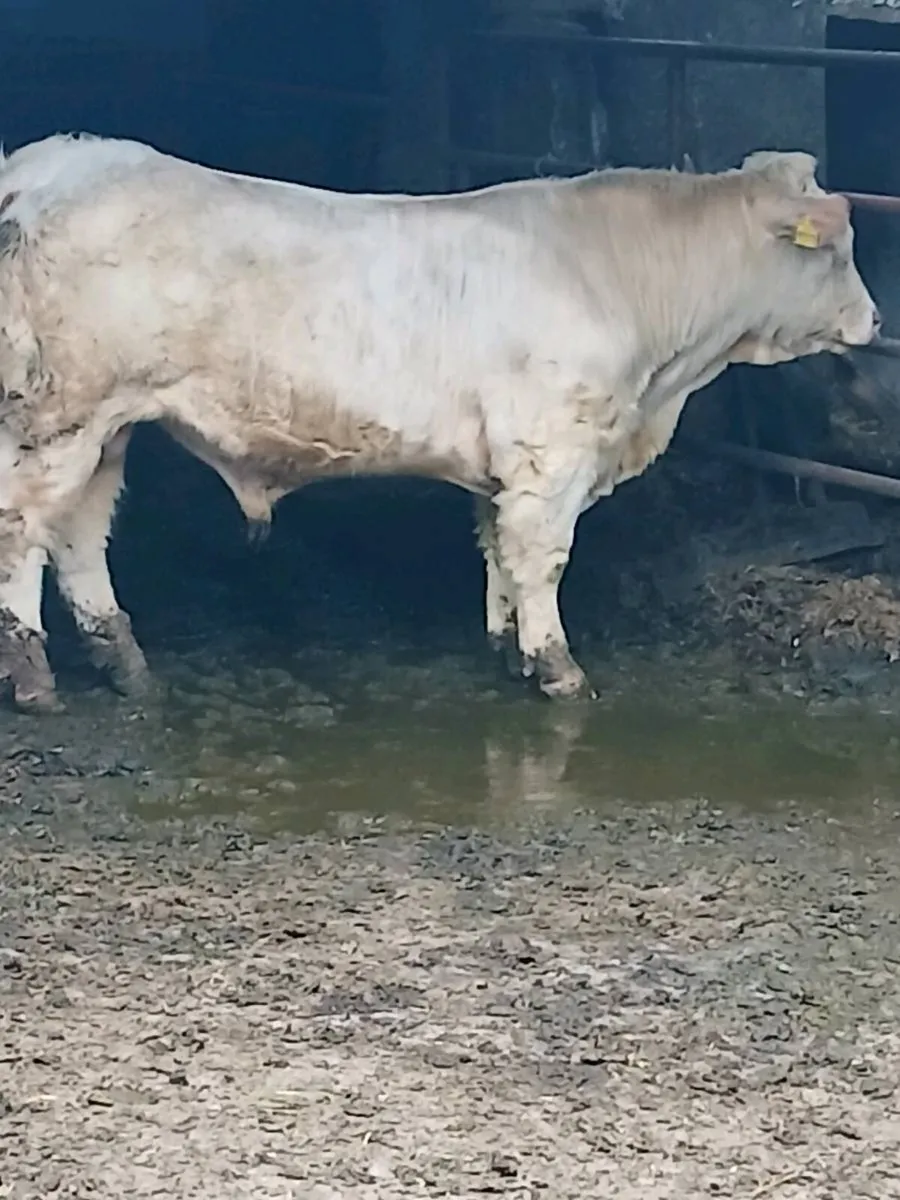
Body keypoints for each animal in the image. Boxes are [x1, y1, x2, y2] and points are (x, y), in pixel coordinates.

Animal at [0, 134, 879, 713]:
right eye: (837, 248)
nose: (874, 321)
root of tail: (46, 163)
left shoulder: (506, 462)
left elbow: (498, 548)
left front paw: (507, 648)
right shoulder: (551, 449)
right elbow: (543, 558)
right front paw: (558, 669)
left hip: (107, 423)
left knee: (78, 533)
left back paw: (124, 661)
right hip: (58, 418)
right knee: (23, 530)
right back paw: (35, 678)